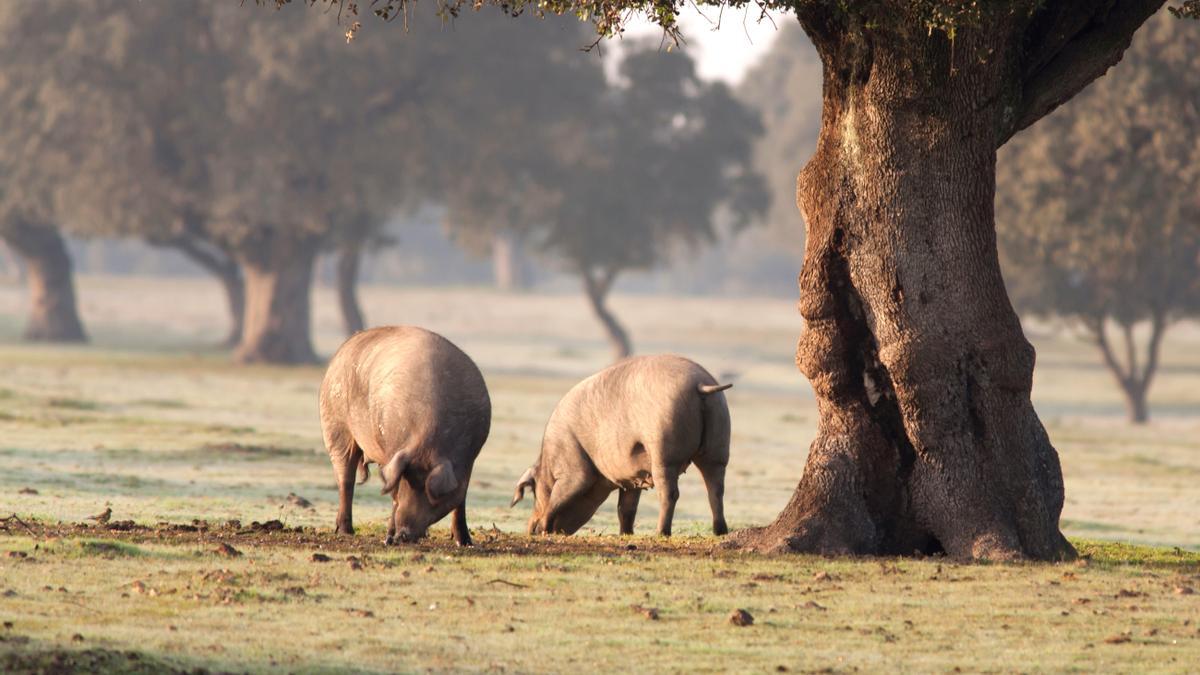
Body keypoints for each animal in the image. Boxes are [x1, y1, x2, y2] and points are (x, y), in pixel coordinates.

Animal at [319, 324, 492, 542]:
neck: (428, 442)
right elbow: (393, 496)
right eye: (406, 482)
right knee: (345, 479)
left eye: (432, 496)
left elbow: (460, 501)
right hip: (334, 423)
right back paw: (345, 531)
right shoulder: (393, 454)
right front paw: (388, 538)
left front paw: (465, 542)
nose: (403, 535)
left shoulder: (469, 460)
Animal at [508, 353, 724, 535]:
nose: (530, 530)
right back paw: (720, 532)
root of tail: (700, 384)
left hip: (664, 451)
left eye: (535, 492)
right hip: (718, 443)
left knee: (670, 493)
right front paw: (625, 535)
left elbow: (559, 496)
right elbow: (625, 508)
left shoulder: (573, 470)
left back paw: (661, 533)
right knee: (715, 488)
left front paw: (544, 529)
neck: (549, 462)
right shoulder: (633, 477)